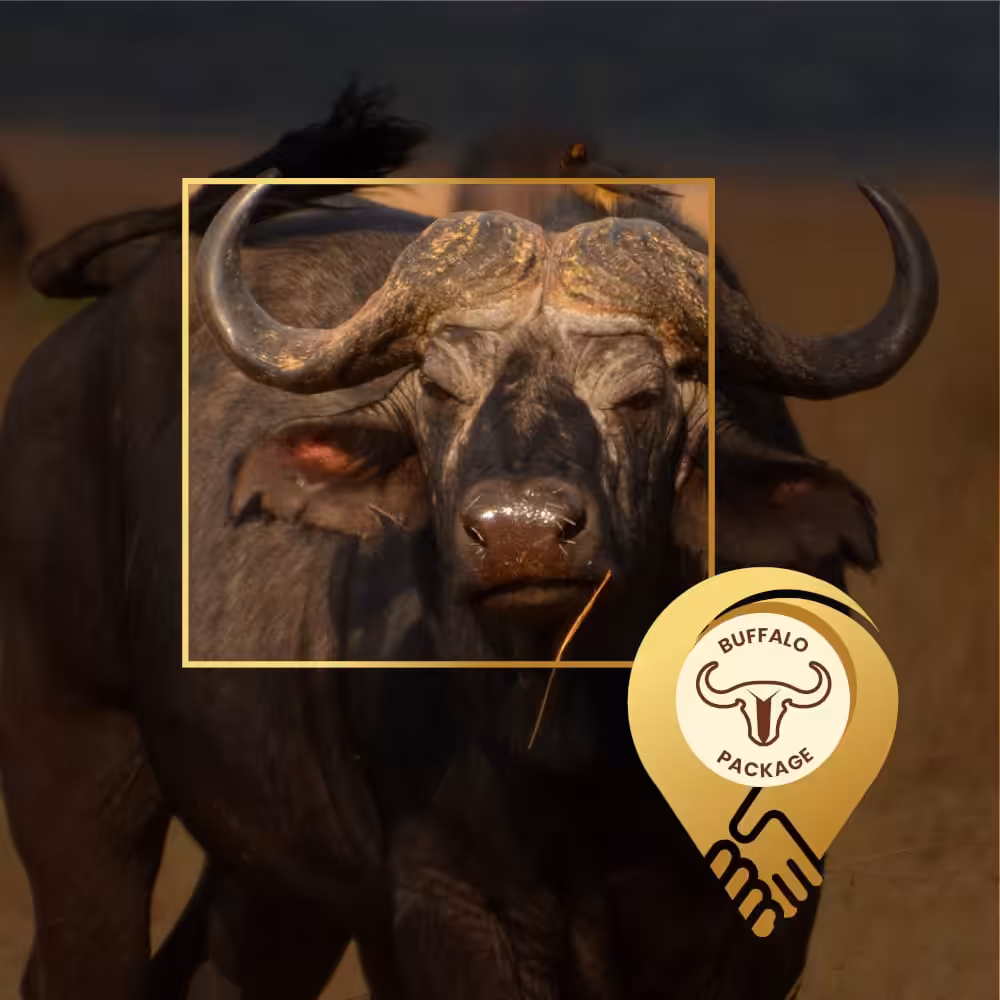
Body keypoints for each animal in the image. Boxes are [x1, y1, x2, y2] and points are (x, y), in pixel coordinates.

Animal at [0, 85, 937, 1000]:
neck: (575, 745)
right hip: (77, 770)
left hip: (272, 880)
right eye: (442, 390)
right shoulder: (445, 903)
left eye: (640, 395)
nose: (520, 536)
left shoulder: (755, 924)